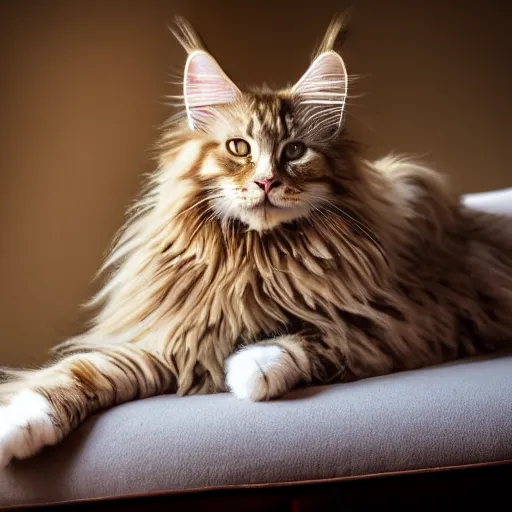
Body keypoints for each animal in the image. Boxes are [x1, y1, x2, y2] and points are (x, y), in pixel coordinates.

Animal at [1, 17, 512, 468]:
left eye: (294, 151)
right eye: (239, 148)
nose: (266, 182)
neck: (253, 262)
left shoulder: (406, 319)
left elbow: (315, 338)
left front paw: (252, 368)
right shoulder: (172, 339)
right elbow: (82, 371)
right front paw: (20, 424)